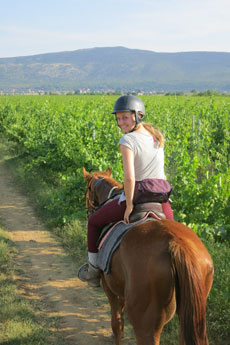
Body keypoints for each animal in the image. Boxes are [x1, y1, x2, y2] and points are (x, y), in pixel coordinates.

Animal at [82, 167, 214, 344]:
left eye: (87, 190)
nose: (89, 212)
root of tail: (177, 244)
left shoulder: (110, 288)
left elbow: (117, 325)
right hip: (189, 313)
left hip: (145, 324)